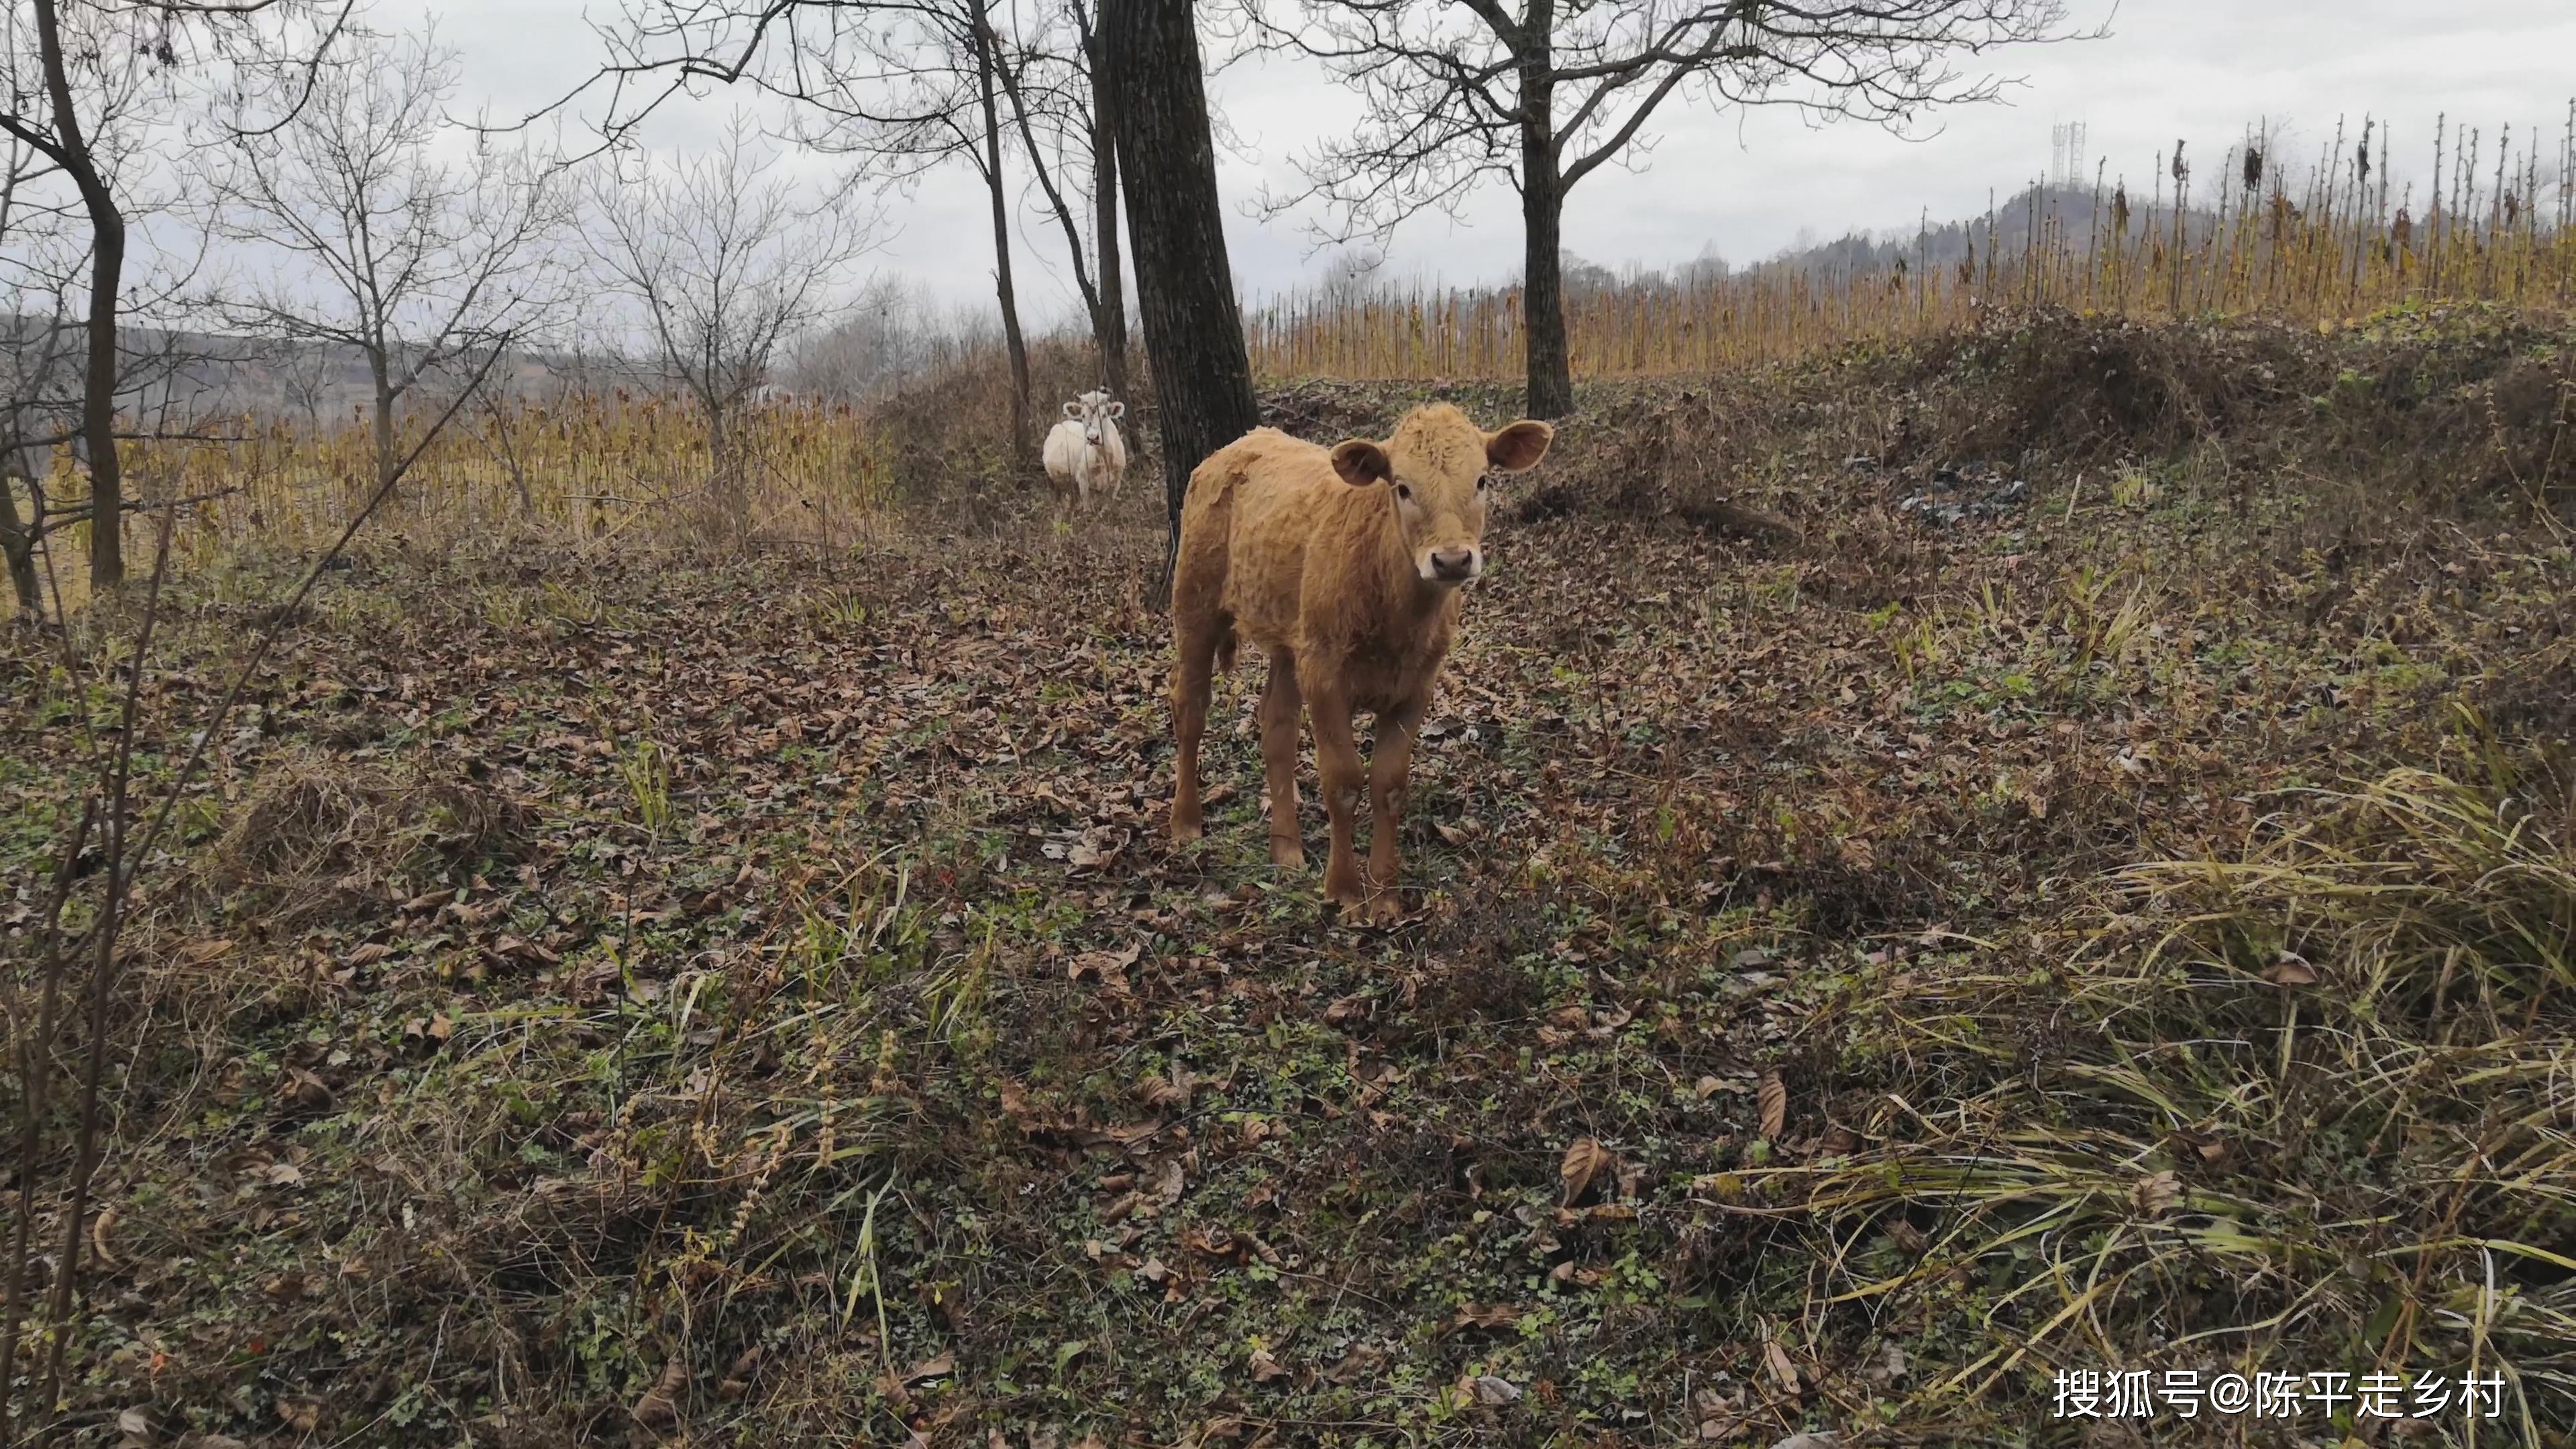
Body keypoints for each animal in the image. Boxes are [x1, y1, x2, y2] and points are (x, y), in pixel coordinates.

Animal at [1046, 389, 1128, 508]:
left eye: (1104, 415)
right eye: (1083, 415)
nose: (1093, 438)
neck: (1103, 456)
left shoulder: (1117, 479)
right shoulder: (1083, 479)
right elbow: (1087, 506)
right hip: (1056, 479)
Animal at [1169, 396, 1546, 912]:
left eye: (1482, 481)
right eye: (1402, 487)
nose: (1452, 560)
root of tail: (1238, 444)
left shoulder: (1416, 685)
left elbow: (1389, 783)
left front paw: (1385, 896)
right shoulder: (1325, 676)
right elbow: (1344, 781)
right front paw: (1345, 890)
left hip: (1292, 639)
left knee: (1277, 727)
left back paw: (1286, 848)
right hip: (1195, 603)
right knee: (1191, 710)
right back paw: (1185, 822)